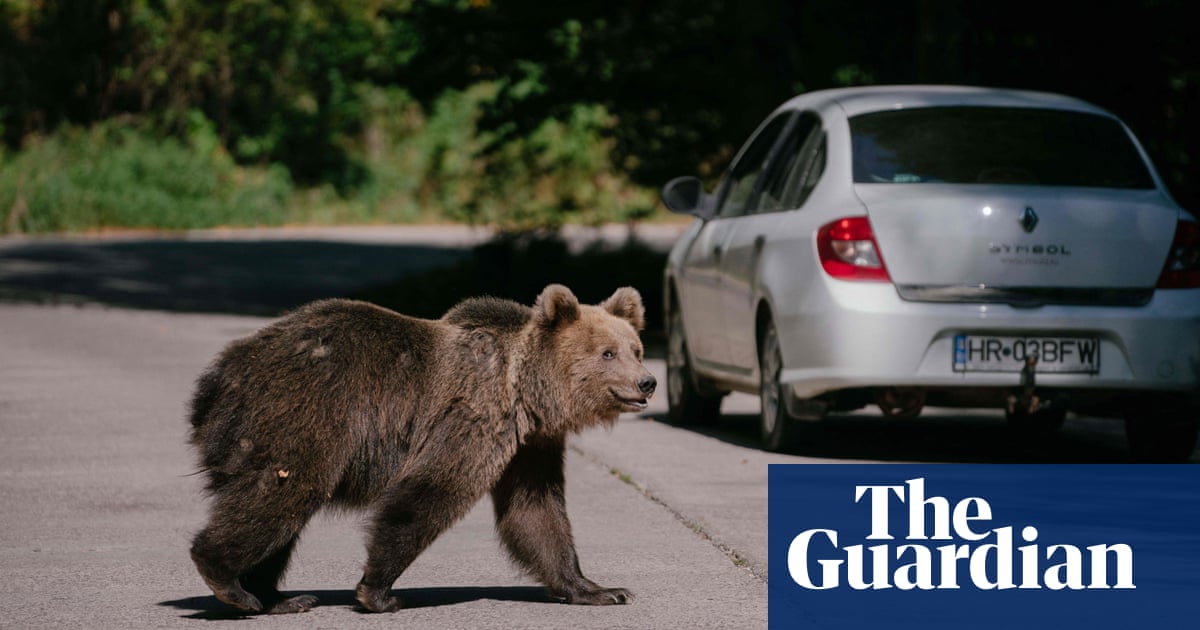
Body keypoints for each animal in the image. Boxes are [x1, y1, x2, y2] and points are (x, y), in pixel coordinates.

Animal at [186, 284, 656, 614]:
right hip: (304, 412)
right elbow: (431, 491)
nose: (647, 381)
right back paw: (229, 581)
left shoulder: (528, 446)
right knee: (280, 493)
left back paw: (277, 597)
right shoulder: (473, 415)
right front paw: (378, 593)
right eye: (608, 353)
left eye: (635, 349)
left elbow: (535, 511)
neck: (525, 393)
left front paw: (600, 589)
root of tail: (219, 376)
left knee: (281, 510)